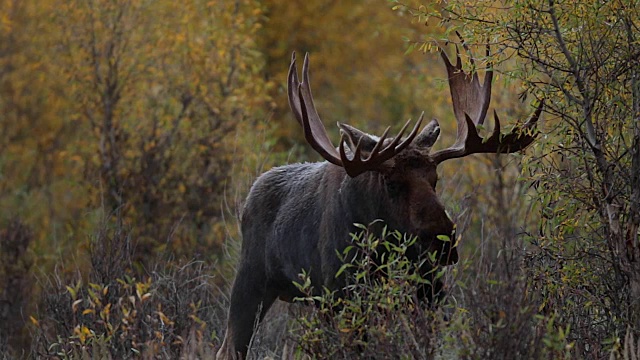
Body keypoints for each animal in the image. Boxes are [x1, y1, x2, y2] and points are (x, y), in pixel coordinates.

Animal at [218, 46, 544, 358]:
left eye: (435, 178)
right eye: (391, 183)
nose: (442, 241)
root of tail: (248, 198)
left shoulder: (430, 291)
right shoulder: (341, 293)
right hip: (251, 281)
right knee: (229, 347)